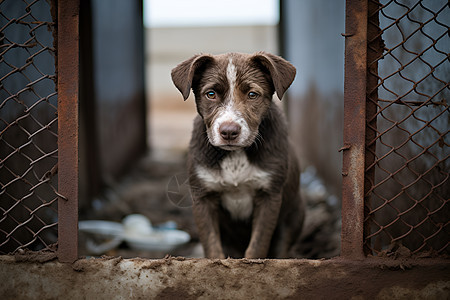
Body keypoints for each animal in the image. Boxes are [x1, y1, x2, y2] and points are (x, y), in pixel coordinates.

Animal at [171, 51, 304, 258]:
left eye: (252, 95)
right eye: (211, 94)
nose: (229, 132)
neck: (235, 155)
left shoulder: (269, 195)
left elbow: (258, 245)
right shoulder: (203, 196)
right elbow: (212, 244)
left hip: (295, 215)